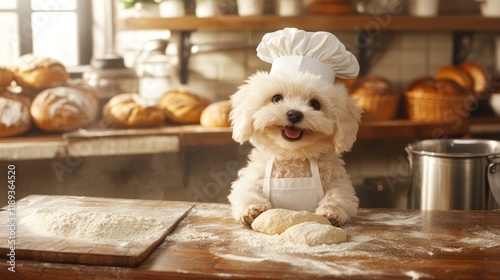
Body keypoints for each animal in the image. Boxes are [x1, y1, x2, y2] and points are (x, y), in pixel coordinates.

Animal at [229, 27, 362, 226]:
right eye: (277, 98)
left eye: (315, 104)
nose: (294, 114)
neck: (293, 156)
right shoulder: (252, 179)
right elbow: (245, 191)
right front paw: (252, 209)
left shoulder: (338, 181)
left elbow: (338, 195)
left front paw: (331, 212)